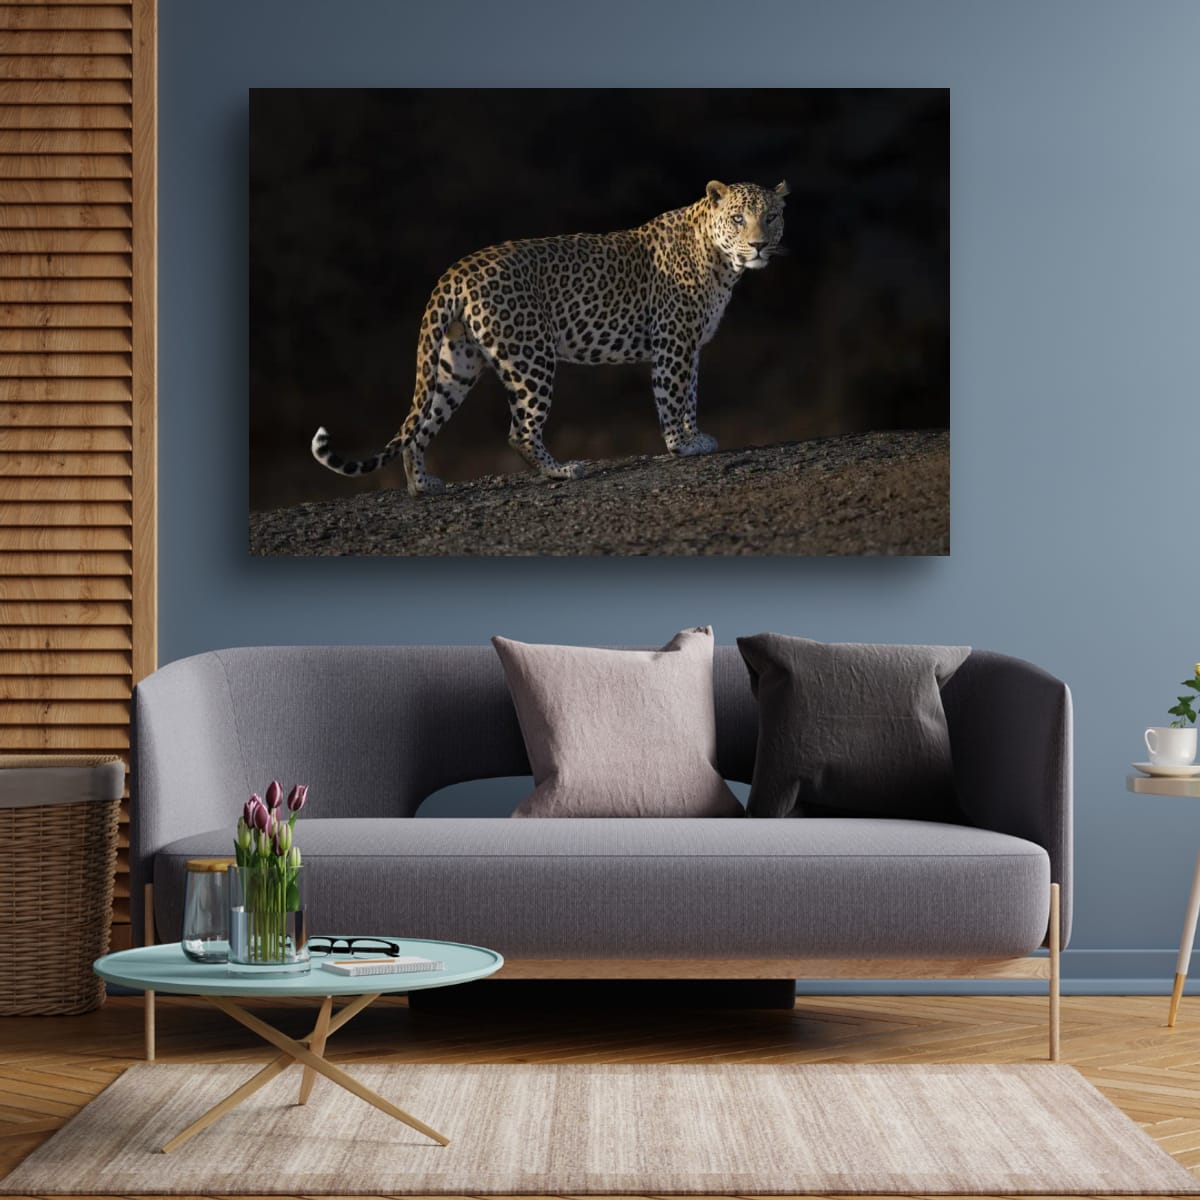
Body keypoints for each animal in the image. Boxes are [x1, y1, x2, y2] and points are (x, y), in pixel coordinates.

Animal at [311, 179, 788, 497]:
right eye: (738, 219)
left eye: (771, 217)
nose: (759, 245)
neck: (722, 262)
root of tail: (456, 270)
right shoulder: (674, 342)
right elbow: (673, 396)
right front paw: (683, 445)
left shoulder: (691, 345)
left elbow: (689, 394)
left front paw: (694, 438)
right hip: (530, 356)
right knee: (519, 431)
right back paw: (561, 471)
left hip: (455, 364)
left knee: (419, 425)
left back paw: (421, 485)